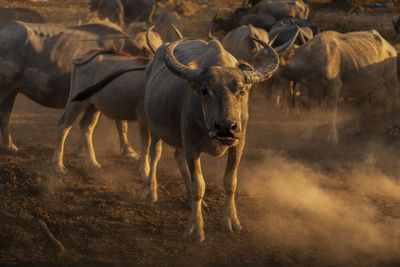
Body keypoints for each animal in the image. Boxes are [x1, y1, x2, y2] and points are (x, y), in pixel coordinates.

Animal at [143, 36, 278, 242]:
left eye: (241, 91)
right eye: (205, 91)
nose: (225, 128)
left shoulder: (238, 144)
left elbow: (230, 182)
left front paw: (231, 222)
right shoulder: (191, 145)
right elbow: (199, 186)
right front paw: (195, 229)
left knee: (178, 157)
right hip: (154, 127)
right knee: (155, 154)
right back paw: (151, 191)